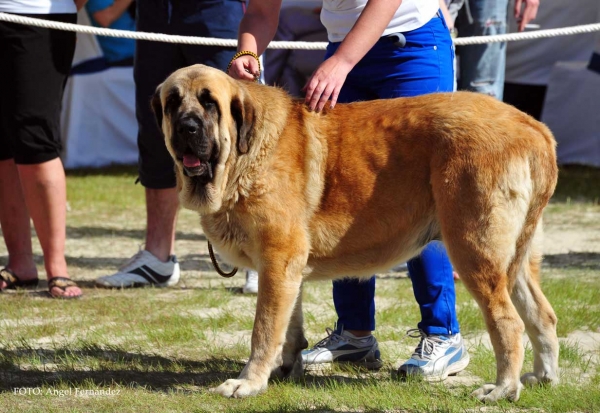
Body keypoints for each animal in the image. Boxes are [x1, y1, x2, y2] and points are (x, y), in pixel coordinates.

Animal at [152, 65, 560, 402]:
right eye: (173, 103)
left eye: (209, 103)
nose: (187, 127)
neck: (243, 155)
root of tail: (532, 126)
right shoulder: (286, 270)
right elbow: (289, 324)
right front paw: (286, 368)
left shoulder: (278, 261)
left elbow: (264, 330)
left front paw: (249, 382)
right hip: (516, 259)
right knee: (542, 315)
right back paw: (543, 378)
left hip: (473, 251)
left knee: (508, 322)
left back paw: (503, 389)